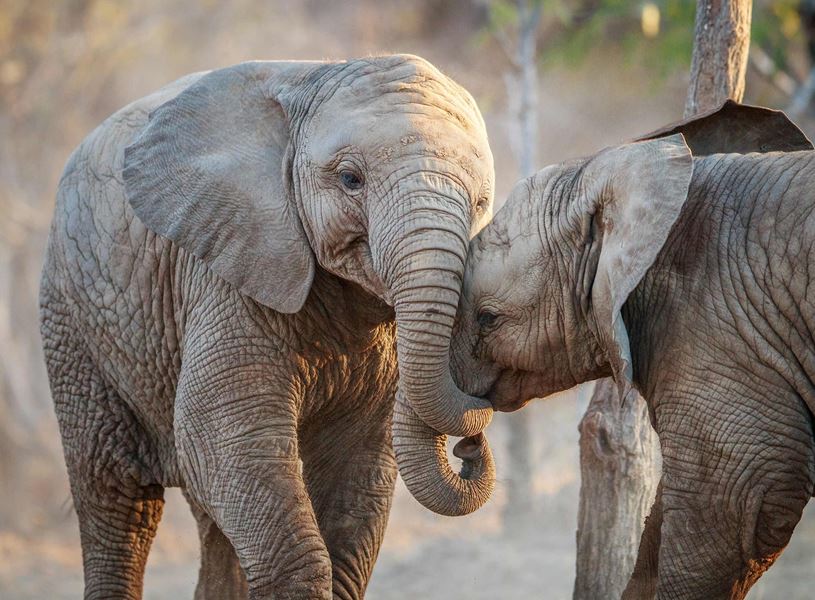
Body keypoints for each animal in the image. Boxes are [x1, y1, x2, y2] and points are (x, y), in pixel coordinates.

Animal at [39, 55, 498, 600]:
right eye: (350, 179)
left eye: (480, 203)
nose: (470, 448)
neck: (315, 77)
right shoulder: (226, 271)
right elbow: (222, 435)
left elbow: (356, 462)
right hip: (70, 316)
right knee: (115, 494)